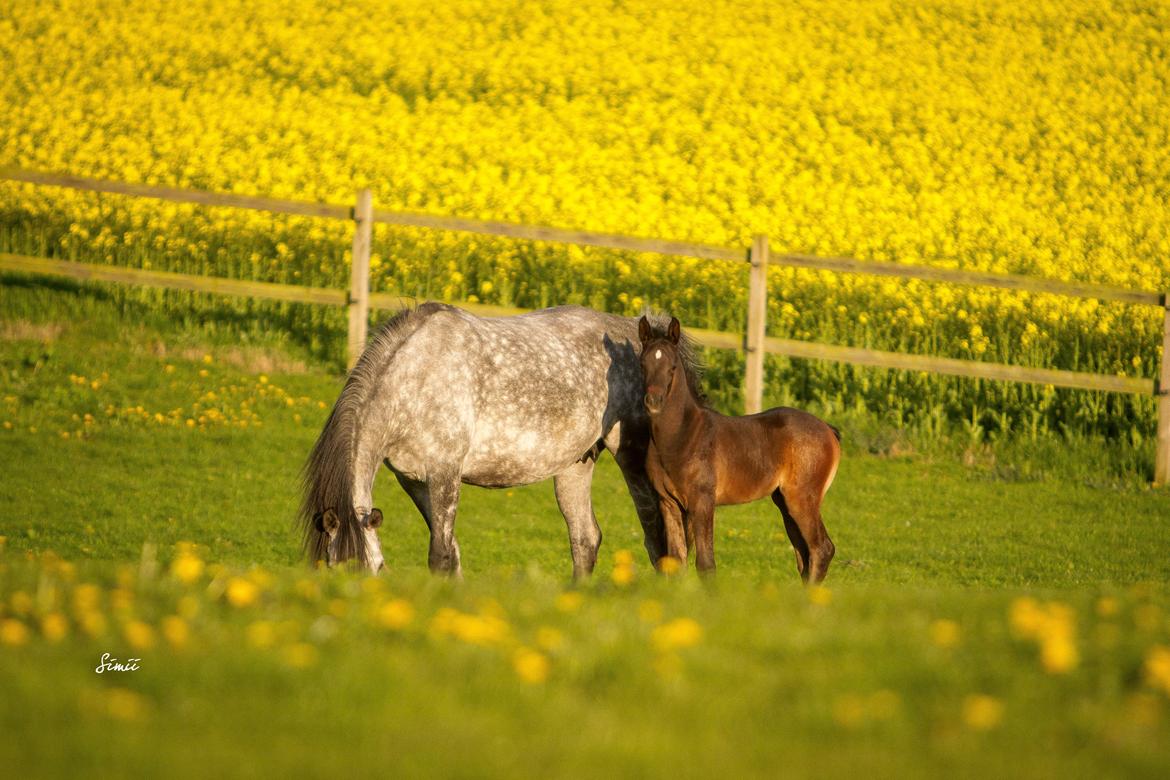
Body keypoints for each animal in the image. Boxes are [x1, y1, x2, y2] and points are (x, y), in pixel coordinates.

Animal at [297, 301, 687, 577]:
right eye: (330, 570)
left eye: (375, 568)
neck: (414, 377)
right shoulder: (414, 481)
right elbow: (452, 553)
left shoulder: (445, 474)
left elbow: (440, 555)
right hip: (575, 466)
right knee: (585, 540)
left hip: (632, 460)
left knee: (659, 539)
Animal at [641, 318, 842, 584]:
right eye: (643, 364)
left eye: (672, 366)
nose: (653, 402)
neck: (682, 435)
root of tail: (828, 429)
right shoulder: (668, 502)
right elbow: (675, 562)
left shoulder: (702, 501)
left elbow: (706, 564)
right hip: (784, 502)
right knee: (804, 556)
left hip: (802, 499)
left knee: (821, 549)